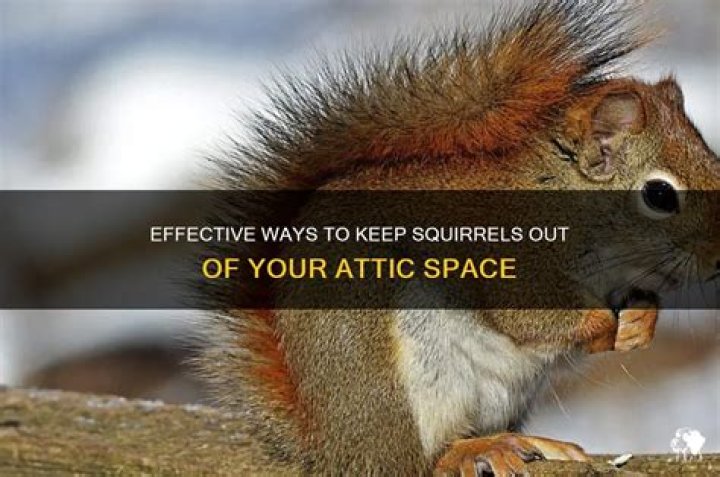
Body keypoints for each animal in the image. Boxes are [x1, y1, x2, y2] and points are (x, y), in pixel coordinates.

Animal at [197, 1, 720, 475]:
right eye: (659, 195)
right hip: (404, 383)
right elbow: (531, 316)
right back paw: (475, 450)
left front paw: (639, 322)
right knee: (420, 459)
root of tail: (331, 449)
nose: (718, 260)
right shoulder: (509, 252)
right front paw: (602, 325)